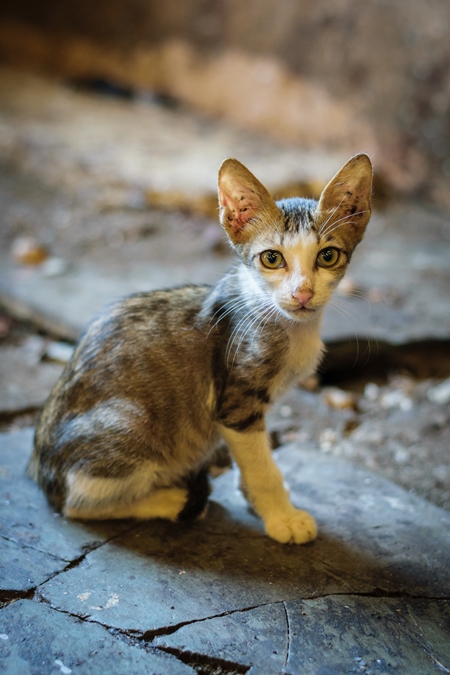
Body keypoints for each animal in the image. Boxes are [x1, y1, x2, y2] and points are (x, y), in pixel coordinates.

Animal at [29, 153, 372, 544]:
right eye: (272, 259)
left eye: (328, 256)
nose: (302, 293)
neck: (289, 324)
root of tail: (41, 474)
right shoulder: (236, 404)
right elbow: (262, 466)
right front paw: (281, 516)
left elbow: (253, 460)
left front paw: (256, 502)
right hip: (129, 422)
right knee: (76, 504)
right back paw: (172, 500)